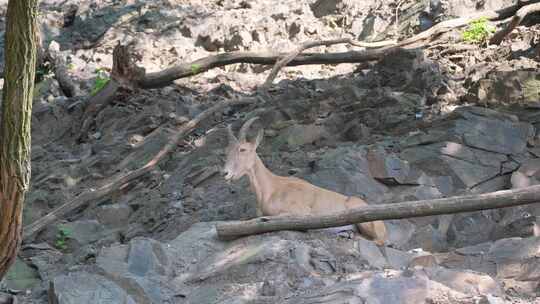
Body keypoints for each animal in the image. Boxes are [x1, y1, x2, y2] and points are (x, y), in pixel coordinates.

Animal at [221, 117, 386, 245]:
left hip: (366, 221)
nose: (225, 173)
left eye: (243, 149)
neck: (271, 188)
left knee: (379, 240)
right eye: (226, 151)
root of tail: (383, 226)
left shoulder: (301, 211)